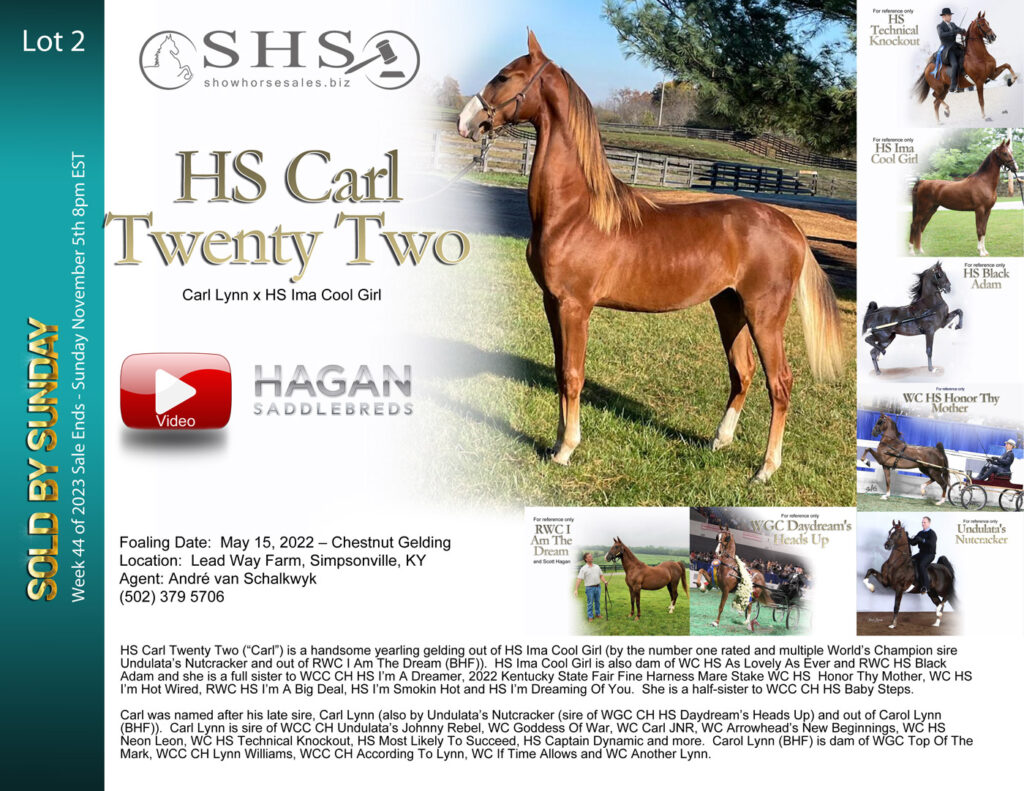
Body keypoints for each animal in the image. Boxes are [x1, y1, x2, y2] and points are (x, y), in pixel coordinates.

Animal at [460, 32, 843, 481]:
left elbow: (573, 375)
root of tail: (791, 226)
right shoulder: (551, 303)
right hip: (729, 307)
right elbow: (558, 371)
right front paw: (556, 442)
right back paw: (720, 440)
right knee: (742, 372)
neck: (576, 211)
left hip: (764, 316)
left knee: (779, 382)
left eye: (504, 76)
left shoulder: (575, 307)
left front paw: (566, 449)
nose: (465, 122)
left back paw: (765, 469)